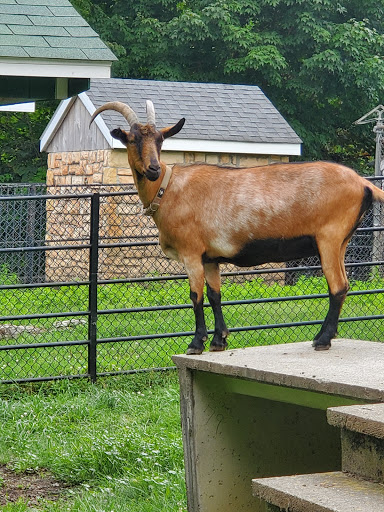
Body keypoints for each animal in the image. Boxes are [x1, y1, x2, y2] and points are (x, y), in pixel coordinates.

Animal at [90, 101, 384, 354]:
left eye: (160, 140)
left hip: (329, 238)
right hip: (341, 242)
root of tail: (363, 183)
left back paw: (321, 339)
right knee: (343, 285)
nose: (152, 169)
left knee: (338, 286)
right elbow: (214, 295)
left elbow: (195, 295)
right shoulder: (209, 258)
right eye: (132, 139)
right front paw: (219, 341)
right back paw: (324, 336)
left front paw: (196, 343)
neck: (168, 188)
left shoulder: (191, 252)